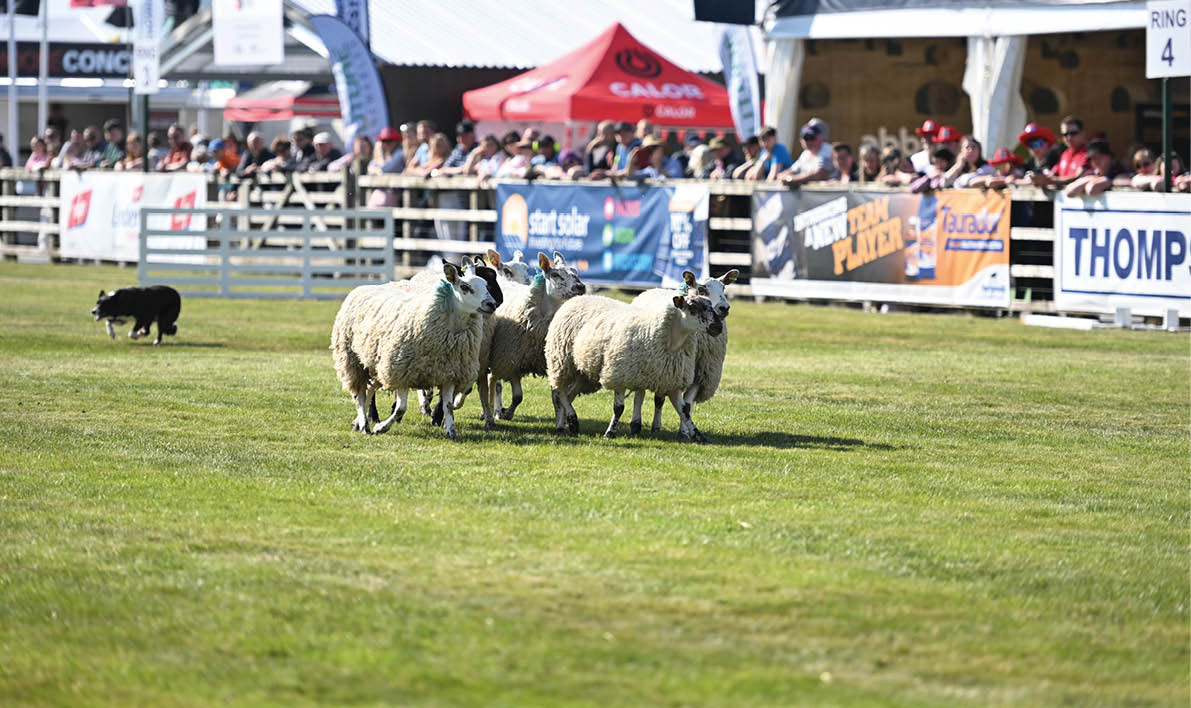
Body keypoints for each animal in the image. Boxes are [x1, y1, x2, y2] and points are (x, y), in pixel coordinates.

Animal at [331, 262, 497, 440]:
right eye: (465, 287)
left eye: (486, 285)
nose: (491, 304)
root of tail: (361, 288)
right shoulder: (401, 372)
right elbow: (400, 408)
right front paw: (381, 428)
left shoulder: (450, 373)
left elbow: (448, 406)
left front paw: (451, 431)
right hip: (352, 360)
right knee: (359, 395)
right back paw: (364, 425)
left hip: (375, 364)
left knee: (368, 390)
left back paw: (357, 423)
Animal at [477, 251, 586, 429]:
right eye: (555, 275)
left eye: (576, 272)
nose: (581, 287)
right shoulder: (512, 361)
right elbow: (517, 396)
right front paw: (506, 413)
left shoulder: (551, 363)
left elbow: (556, 396)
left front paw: (560, 423)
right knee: (493, 382)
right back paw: (491, 411)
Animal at [545, 293, 722, 441]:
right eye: (692, 307)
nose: (717, 326)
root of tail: (577, 297)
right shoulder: (618, 375)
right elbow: (619, 408)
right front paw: (610, 433)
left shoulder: (671, 382)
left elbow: (684, 410)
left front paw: (697, 435)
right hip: (561, 361)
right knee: (560, 391)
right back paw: (571, 421)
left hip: (582, 372)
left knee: (568, 395)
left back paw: (566, 424)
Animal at [629, 269, 738, 439]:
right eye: (702, 289)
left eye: (724, 288)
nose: (724, 308)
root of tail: (651, 290)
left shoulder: (700, 373)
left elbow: (686, 405)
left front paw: (684, 432)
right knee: (639, 396)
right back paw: (636, 425)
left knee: (658, 399)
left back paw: (656, 426)